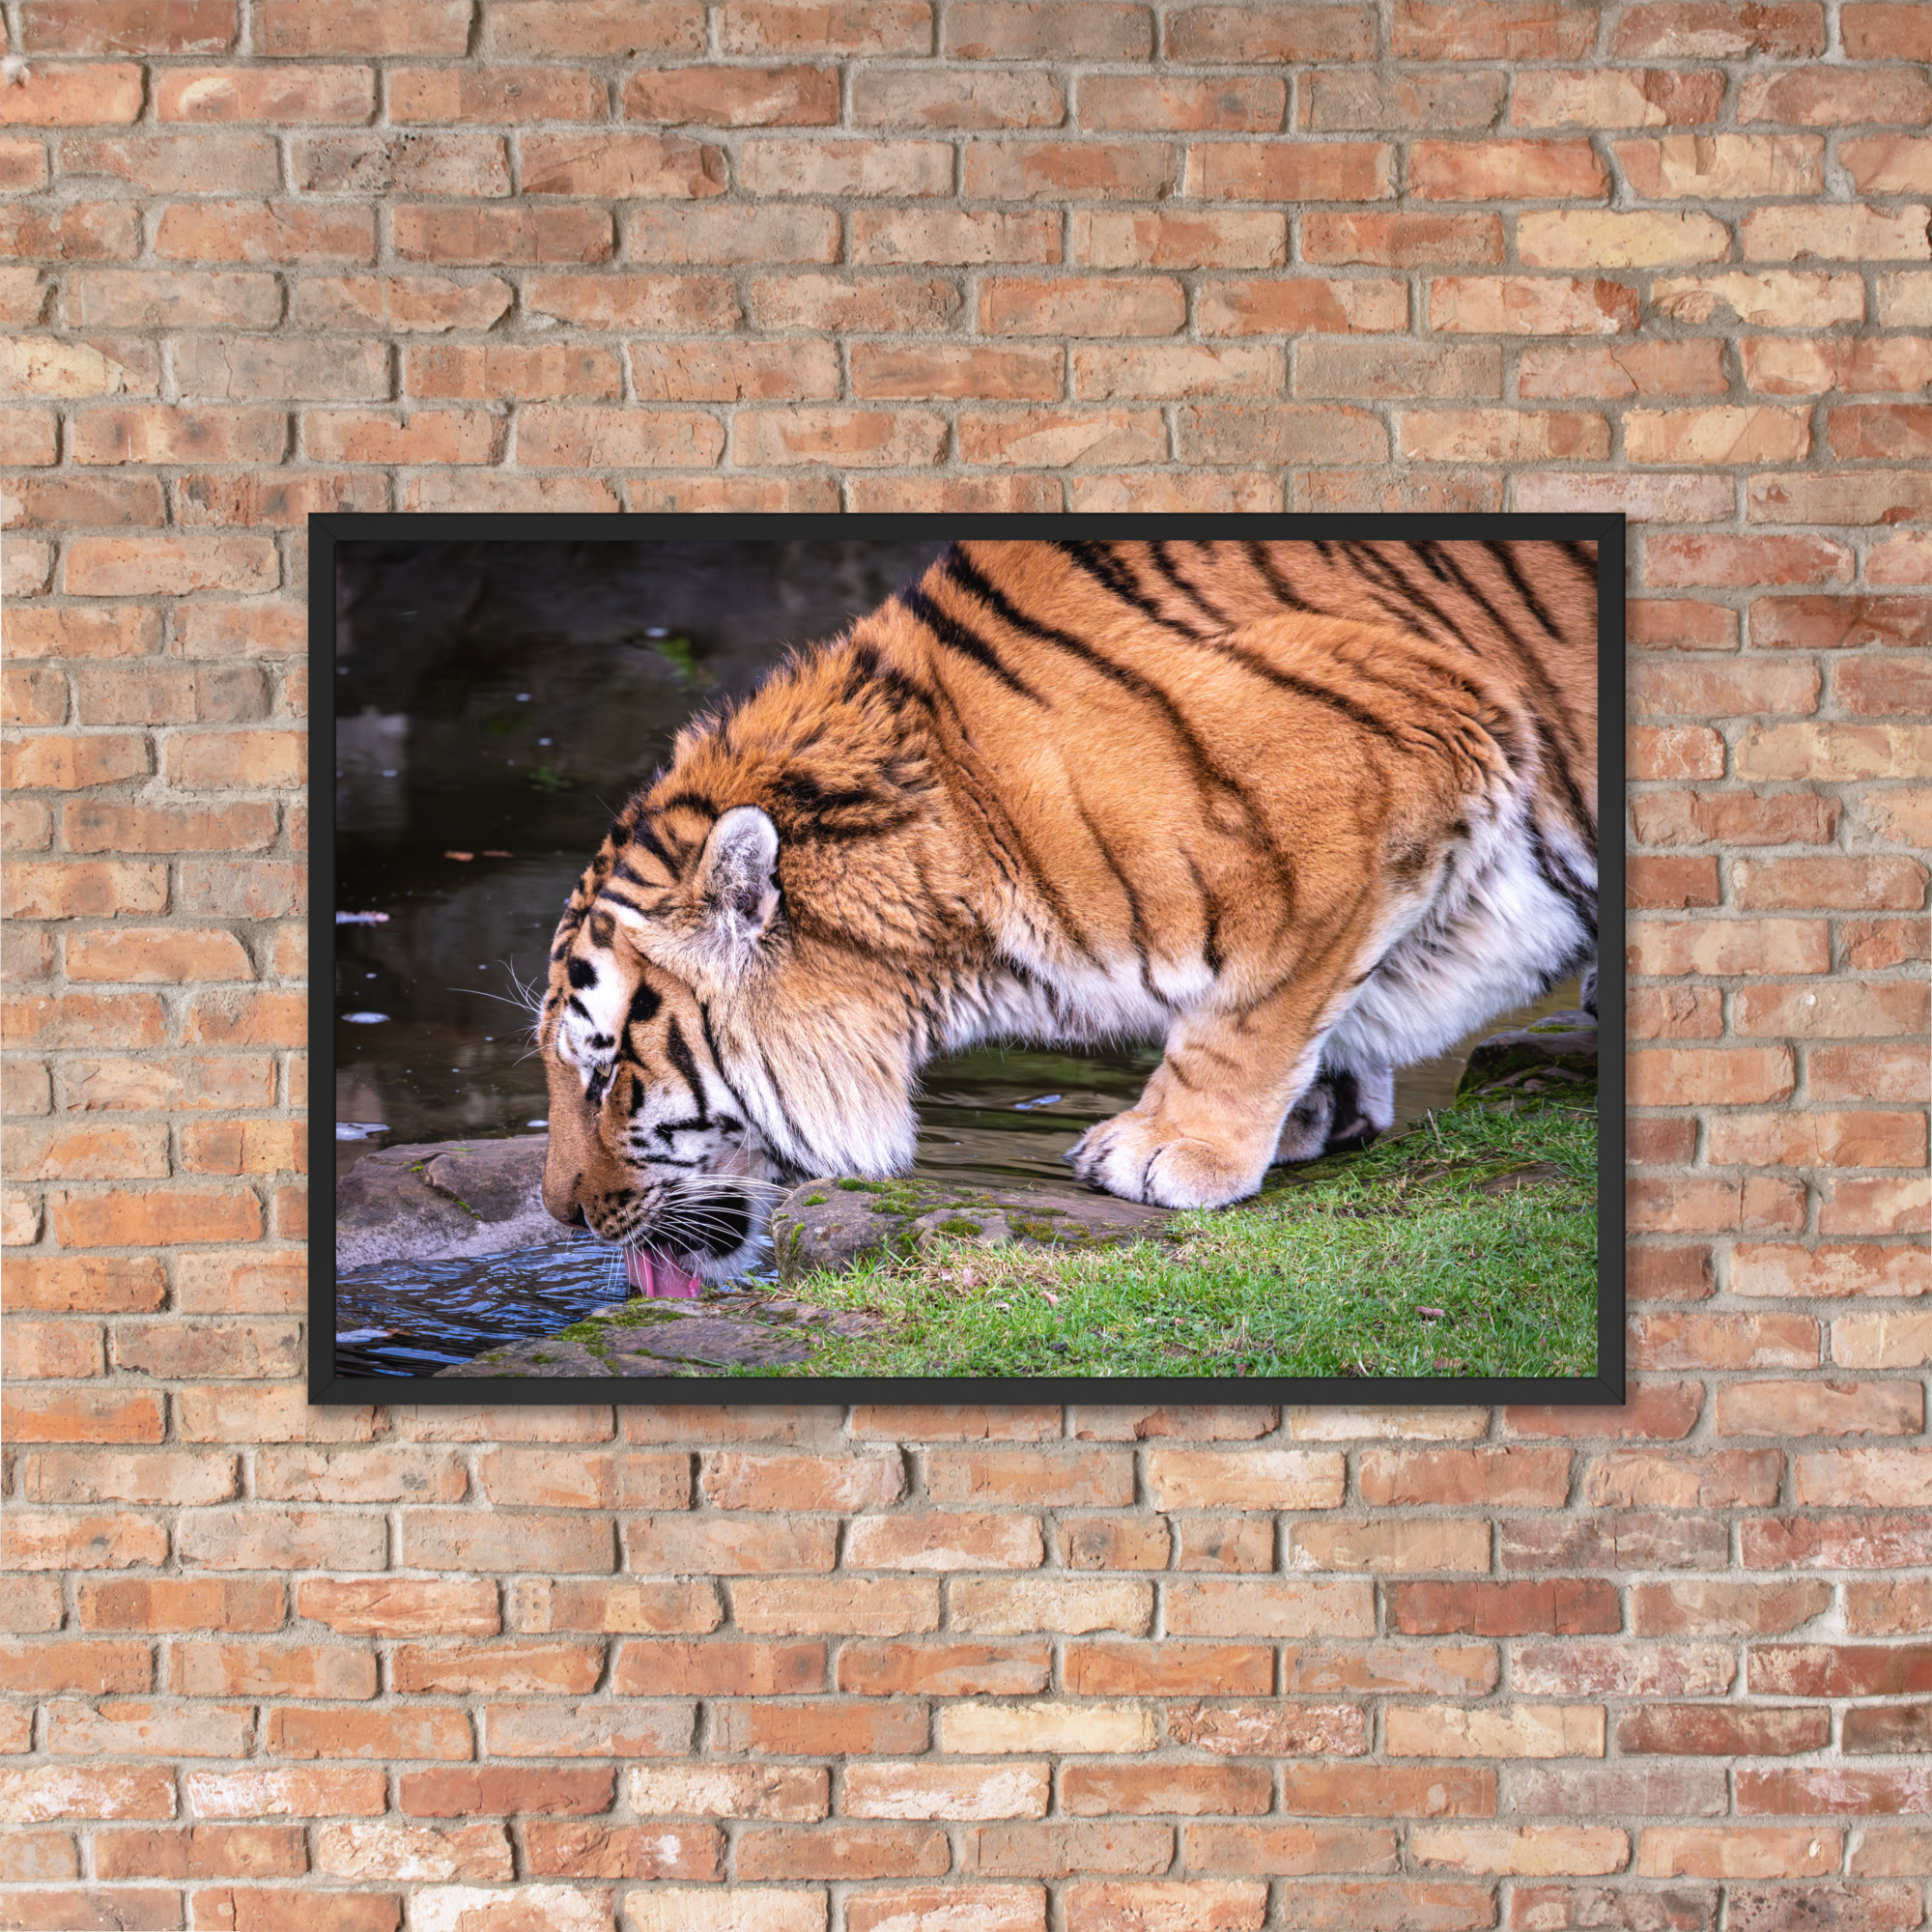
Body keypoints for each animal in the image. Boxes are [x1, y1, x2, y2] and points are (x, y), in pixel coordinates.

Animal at [537, 537, 1599, 1291]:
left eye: (605, 1072)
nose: (559, 1216)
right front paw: (1319, 1107)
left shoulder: (1387, 752)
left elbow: (1254, 995)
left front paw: (1166, 1148)